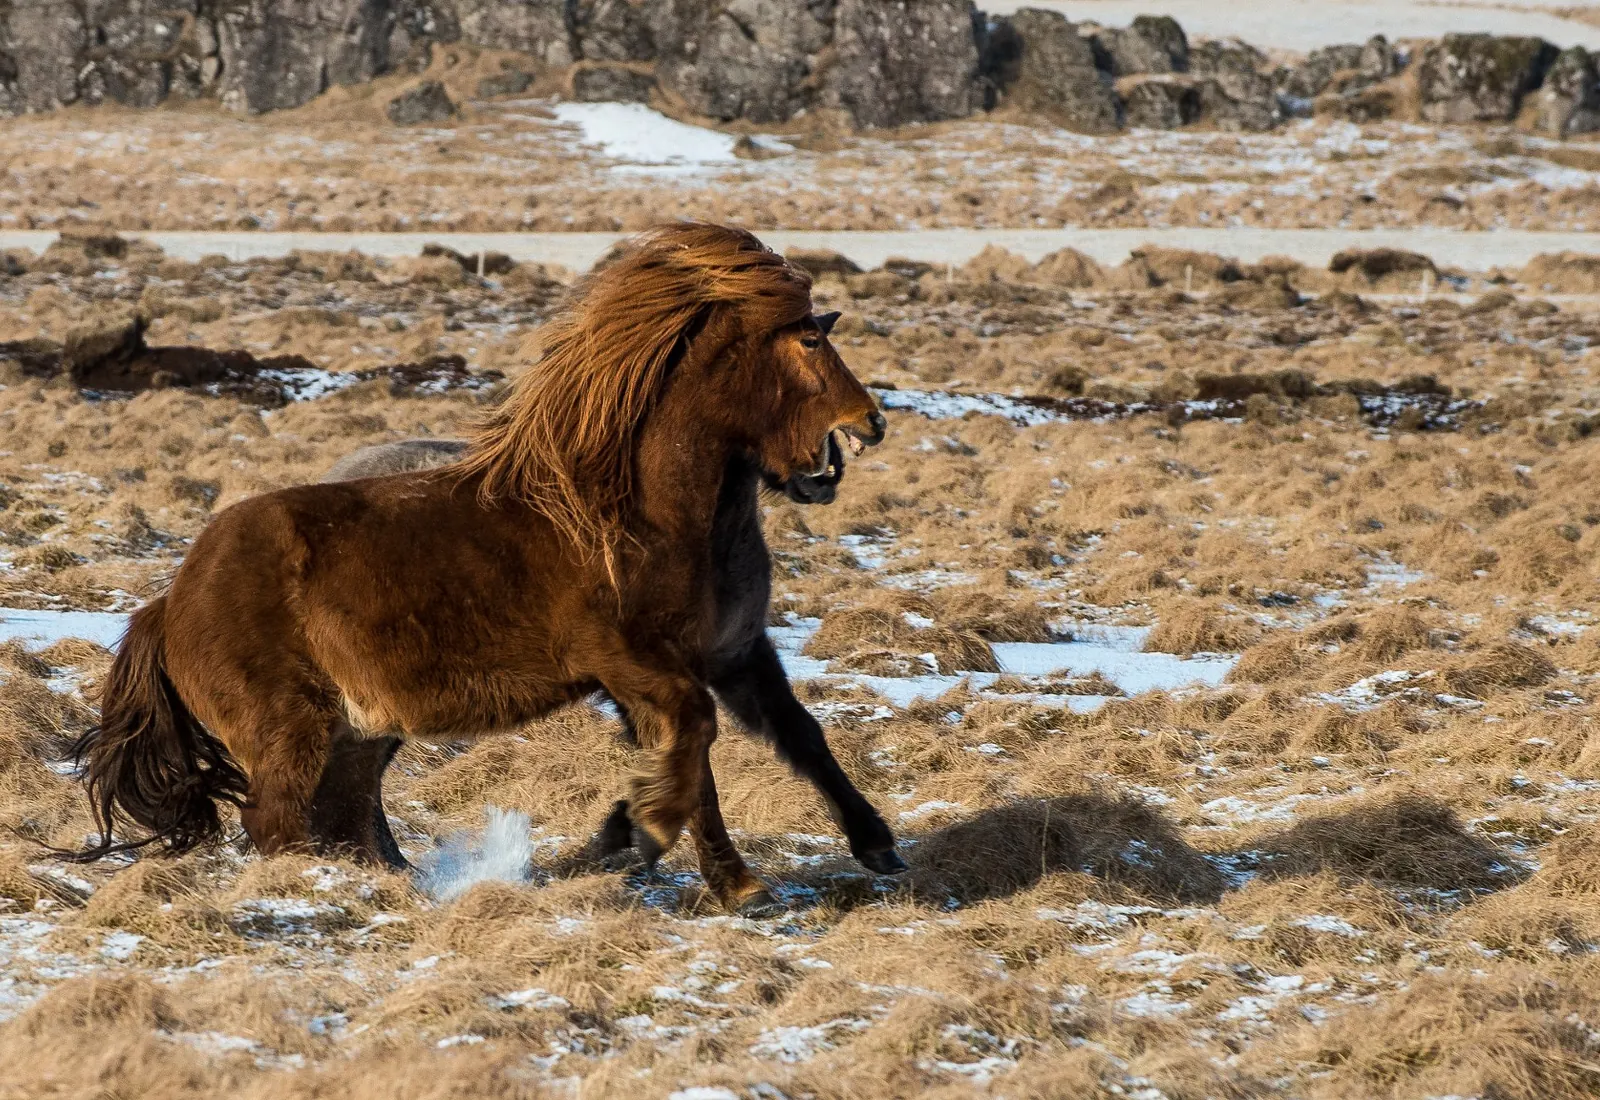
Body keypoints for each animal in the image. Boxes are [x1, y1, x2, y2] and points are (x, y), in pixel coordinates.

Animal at [69, 223, 899, 914]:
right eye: (809, 343)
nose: (871, 424)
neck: (644, 512)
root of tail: (168, 602)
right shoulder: (635, 664)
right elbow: (694, 746)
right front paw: (637, 836)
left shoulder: (733, 653)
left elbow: (793, 736)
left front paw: (860, 848)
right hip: (291, 727)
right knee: (277, 821)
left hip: (357, 730)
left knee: (342, 812)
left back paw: (392, 885)